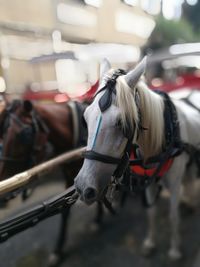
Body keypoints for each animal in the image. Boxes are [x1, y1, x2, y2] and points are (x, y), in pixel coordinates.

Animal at [75, 58, 200, 262]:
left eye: (121, 123)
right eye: (85, 118)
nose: (83, 186)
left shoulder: (174, 183)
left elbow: (173, 216)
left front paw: (174, 250)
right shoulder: (148, 182)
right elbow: (151, 212)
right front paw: (150, 243)